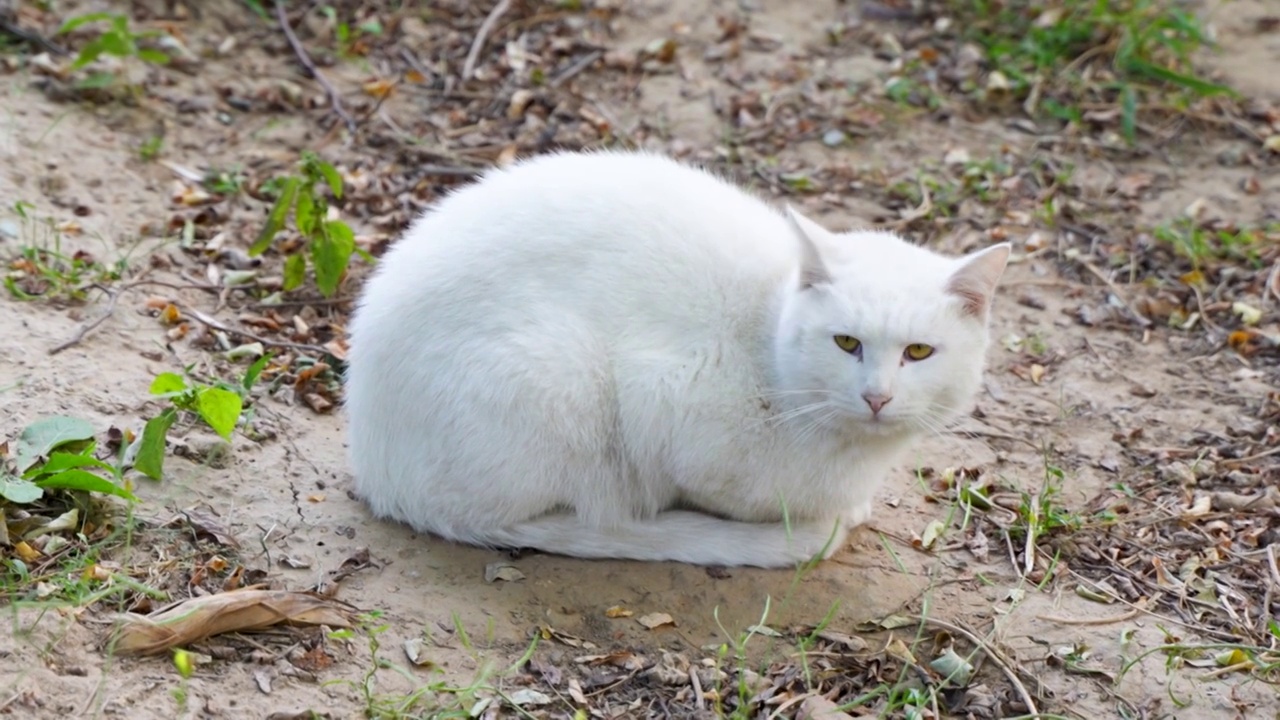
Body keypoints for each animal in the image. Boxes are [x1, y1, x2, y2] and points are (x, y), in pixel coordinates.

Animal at [343, 149, 1008, 566]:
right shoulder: (664, 394)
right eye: (847, 343)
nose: (876, 396)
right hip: (562, 375)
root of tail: (380, 476)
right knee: (575, 520)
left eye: (918, 352)